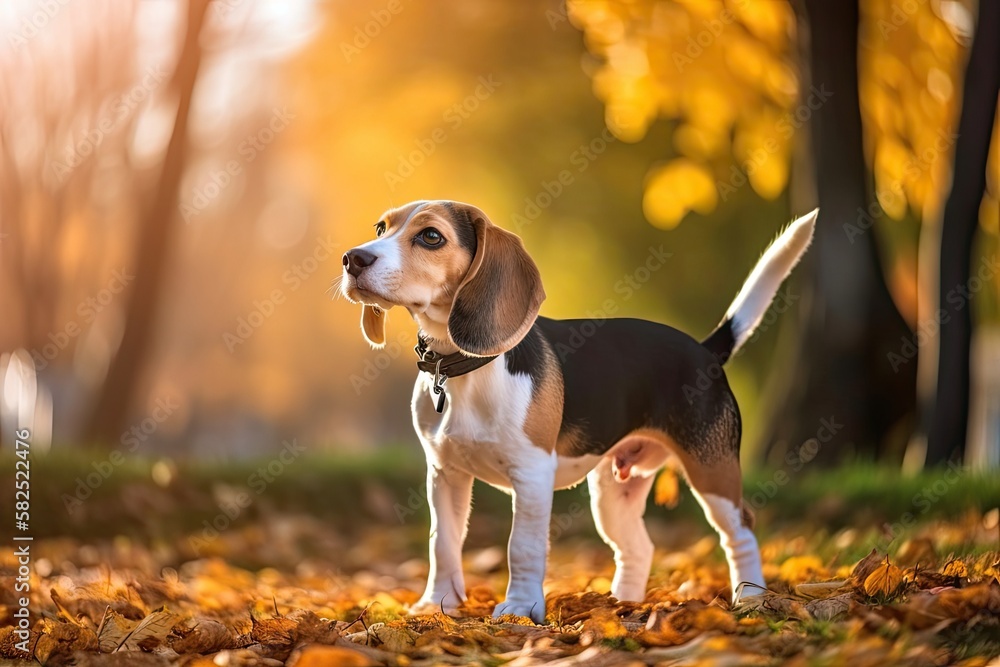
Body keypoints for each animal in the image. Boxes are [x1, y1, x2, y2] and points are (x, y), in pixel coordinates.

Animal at [340, 201, 816, 624]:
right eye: (381, 228)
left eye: (431, 236)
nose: (352, 259)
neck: (464, 366)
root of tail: (705, 350)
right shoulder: (445, 473)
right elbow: (443, 542)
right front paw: (438, 604)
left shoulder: (532, 474)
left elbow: (522, 546)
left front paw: (520, 608)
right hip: (613, 491)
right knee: (638, 547)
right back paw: (621, 605)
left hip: (711, 470)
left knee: (741, 531)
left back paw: (750, 599)